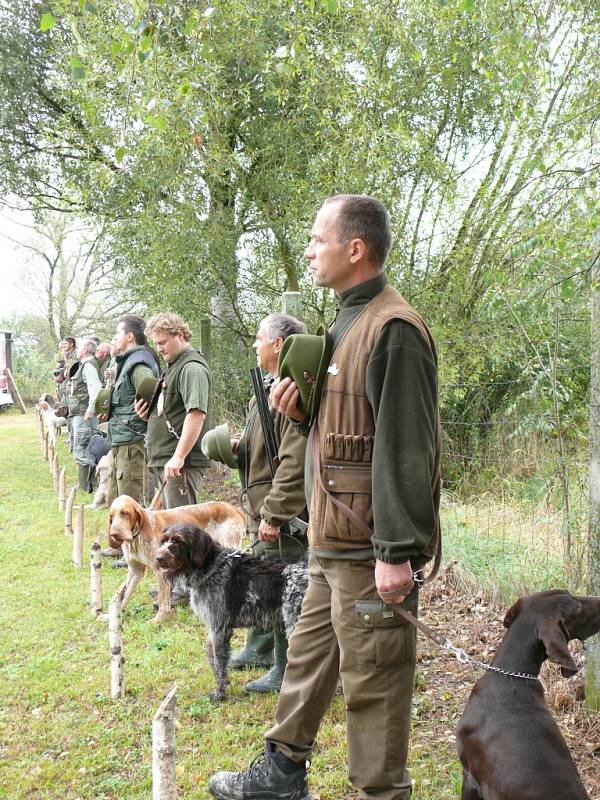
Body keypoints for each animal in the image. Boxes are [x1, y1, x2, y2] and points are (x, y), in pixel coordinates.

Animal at [105, 494, 244, 624]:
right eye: (111, 517)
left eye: (125, 513)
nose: (114, 534)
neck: (136, 539)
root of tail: (233, 508)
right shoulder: (135, 570)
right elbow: (124, 594)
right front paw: (113, 615)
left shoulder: (160, 570)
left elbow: (162, 599)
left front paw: (159, 619)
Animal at [155, 520, 308, 696]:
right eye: (163, 540)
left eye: (178, 541)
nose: (158, 558)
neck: (209, 567)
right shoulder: (215, 628)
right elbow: (211, 653)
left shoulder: (219, 628)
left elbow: (219, 661)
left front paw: (219, 693)